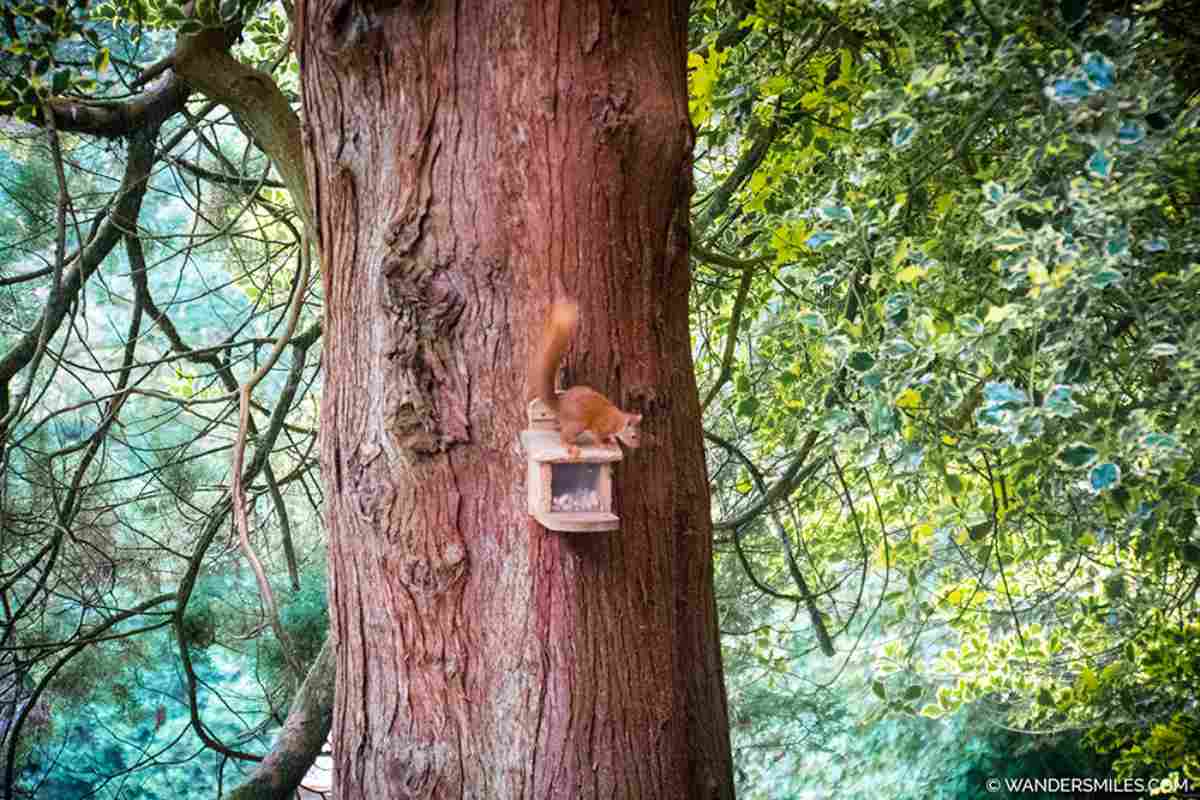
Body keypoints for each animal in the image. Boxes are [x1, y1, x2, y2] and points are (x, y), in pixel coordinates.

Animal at [535, 298, 643, 455]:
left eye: (640, 434)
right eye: (633, 436)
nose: (638, 446)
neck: (617, 421)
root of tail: (560, 405)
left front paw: (610, 440)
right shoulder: (600, 425)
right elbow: (597, 436)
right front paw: (604, 444)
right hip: (577, 424)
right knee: (563, 437)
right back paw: (569, 446)